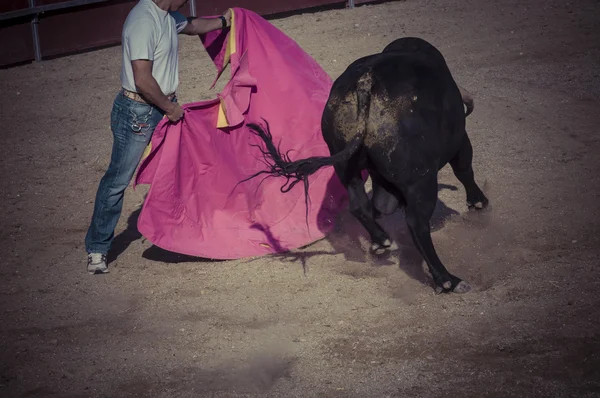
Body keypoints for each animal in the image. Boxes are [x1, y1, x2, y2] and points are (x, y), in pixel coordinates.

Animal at [243, 37, 488, 294]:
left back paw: (382, 241)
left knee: (359, 205)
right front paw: (478, 201)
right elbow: (464, 169)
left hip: (346, 166)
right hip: (420, 179)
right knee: (417, 223)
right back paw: (447, 279)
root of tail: (366, 83)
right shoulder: (460, 141)